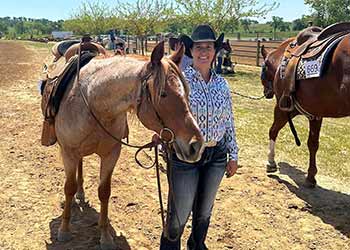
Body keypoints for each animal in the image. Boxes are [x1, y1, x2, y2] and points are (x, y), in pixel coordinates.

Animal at [53, 42, 204, 249]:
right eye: (163, 94)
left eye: (187, 92)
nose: (196, 145)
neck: (92, 102)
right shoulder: (68, 152)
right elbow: (68, 188)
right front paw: (64, 230)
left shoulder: (111, 154)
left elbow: (104, 192)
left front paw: (105, 236)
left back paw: (81, 193)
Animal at [262, 33, 350, 188]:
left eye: (264, 70)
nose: (266, 93)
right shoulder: (315, 114)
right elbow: (313, 144)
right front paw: (310, 176)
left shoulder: (283, 108)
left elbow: (273, 130)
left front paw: (270, 161)